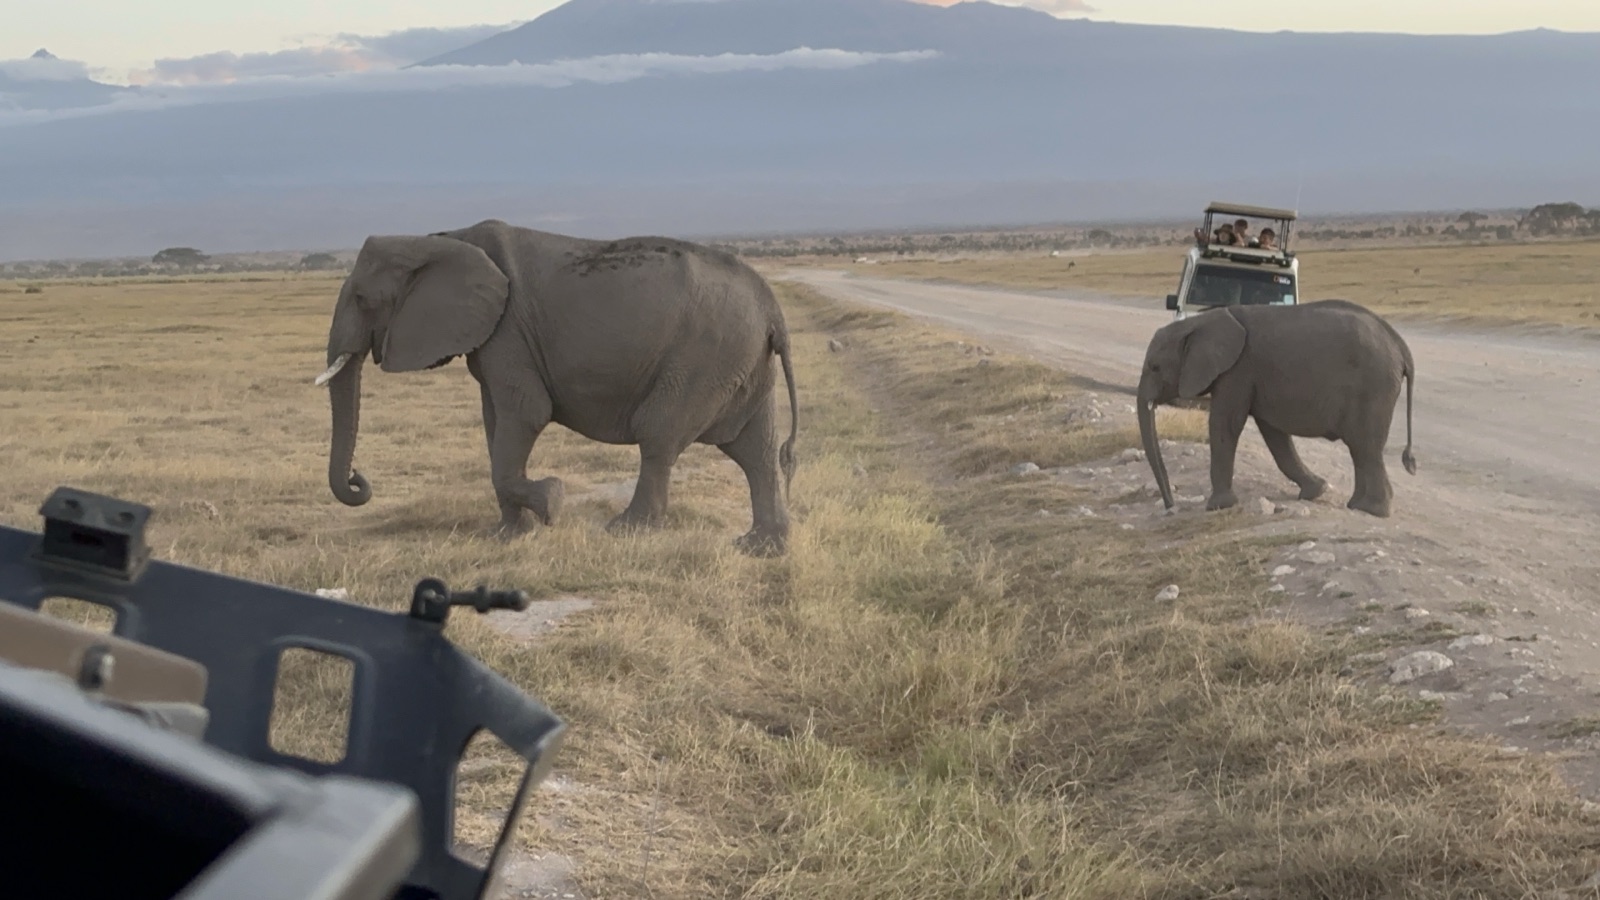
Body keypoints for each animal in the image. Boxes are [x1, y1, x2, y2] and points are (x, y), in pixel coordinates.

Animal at [313, 218, 799, 556]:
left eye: (362, 299)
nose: (358, 478)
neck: (441, 237)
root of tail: (773, 308)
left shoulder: (507, 332)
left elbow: (526, 414)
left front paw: (552, 501)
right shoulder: (494, 339)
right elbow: (495, 423)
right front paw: (507, 535)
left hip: (704, 357)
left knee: (660, 435)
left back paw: (626, 531)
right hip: (738, 361)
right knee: (755, 450)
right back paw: (760, 548)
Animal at [1136, 299, 1417, 517]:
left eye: (1155, 367)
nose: (1170, 507)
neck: (1201, 321)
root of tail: (1401, 346)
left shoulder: (1238, 370)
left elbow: (1225, 424)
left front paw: (1217, 506)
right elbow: (1274, 435)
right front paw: (1315, 491)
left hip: (1373, 387)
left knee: (1365, 447)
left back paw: (1371, 510)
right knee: (1361, 450)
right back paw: (1356, 505)